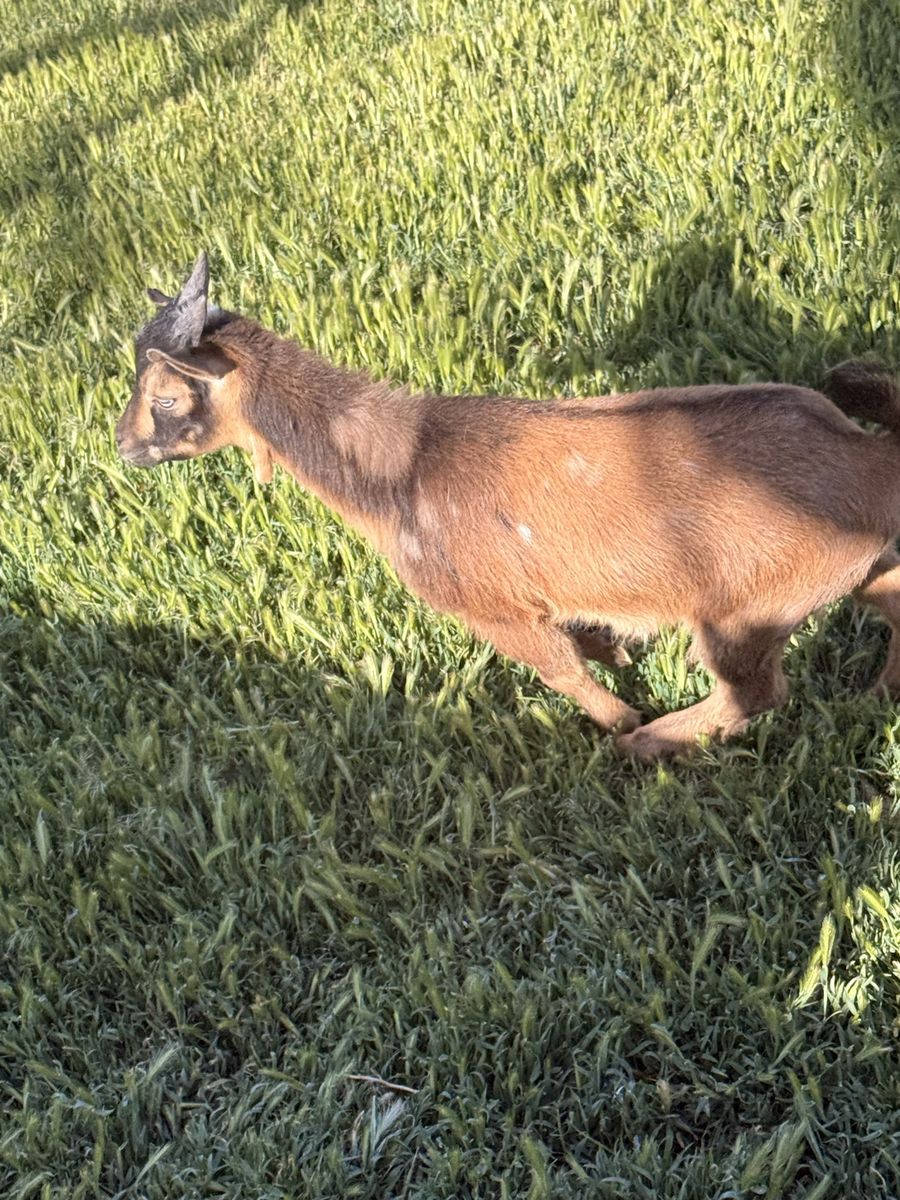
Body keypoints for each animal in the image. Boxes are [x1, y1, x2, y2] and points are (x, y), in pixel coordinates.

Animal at [115, 253, 900, 759]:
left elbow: (560, 670)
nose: (123, 446)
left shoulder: (491, 608)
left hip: (743, 613)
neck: (402, 466)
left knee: (756, 692)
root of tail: (873, 460)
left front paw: (623, 718)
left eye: (165, 397)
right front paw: (615, 649)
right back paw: (873, 698)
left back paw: (649, 743)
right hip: (858, 571)